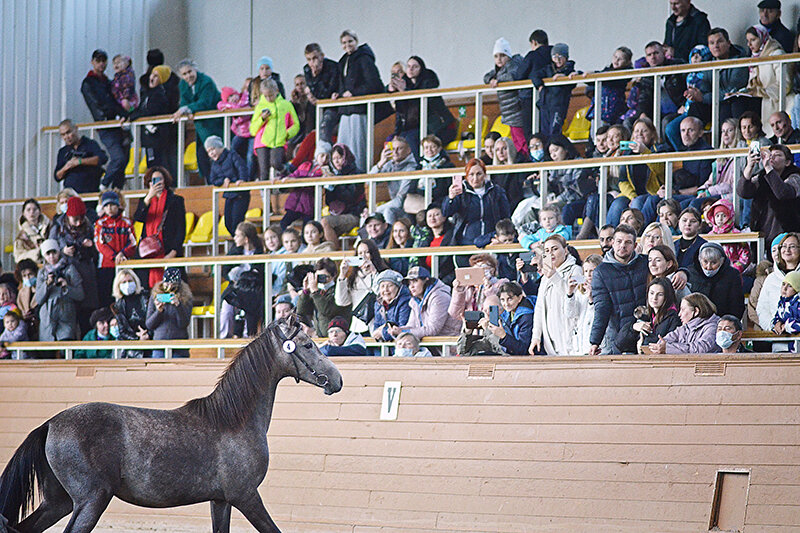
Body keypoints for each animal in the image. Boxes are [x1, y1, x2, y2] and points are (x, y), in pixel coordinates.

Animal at [0, 316, 340, 532]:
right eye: (308, 345)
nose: (337, 380)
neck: (233, 421)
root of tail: (50, 424)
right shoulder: (246, 497)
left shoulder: (221, 501)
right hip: (90, 501)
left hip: (58, 503)